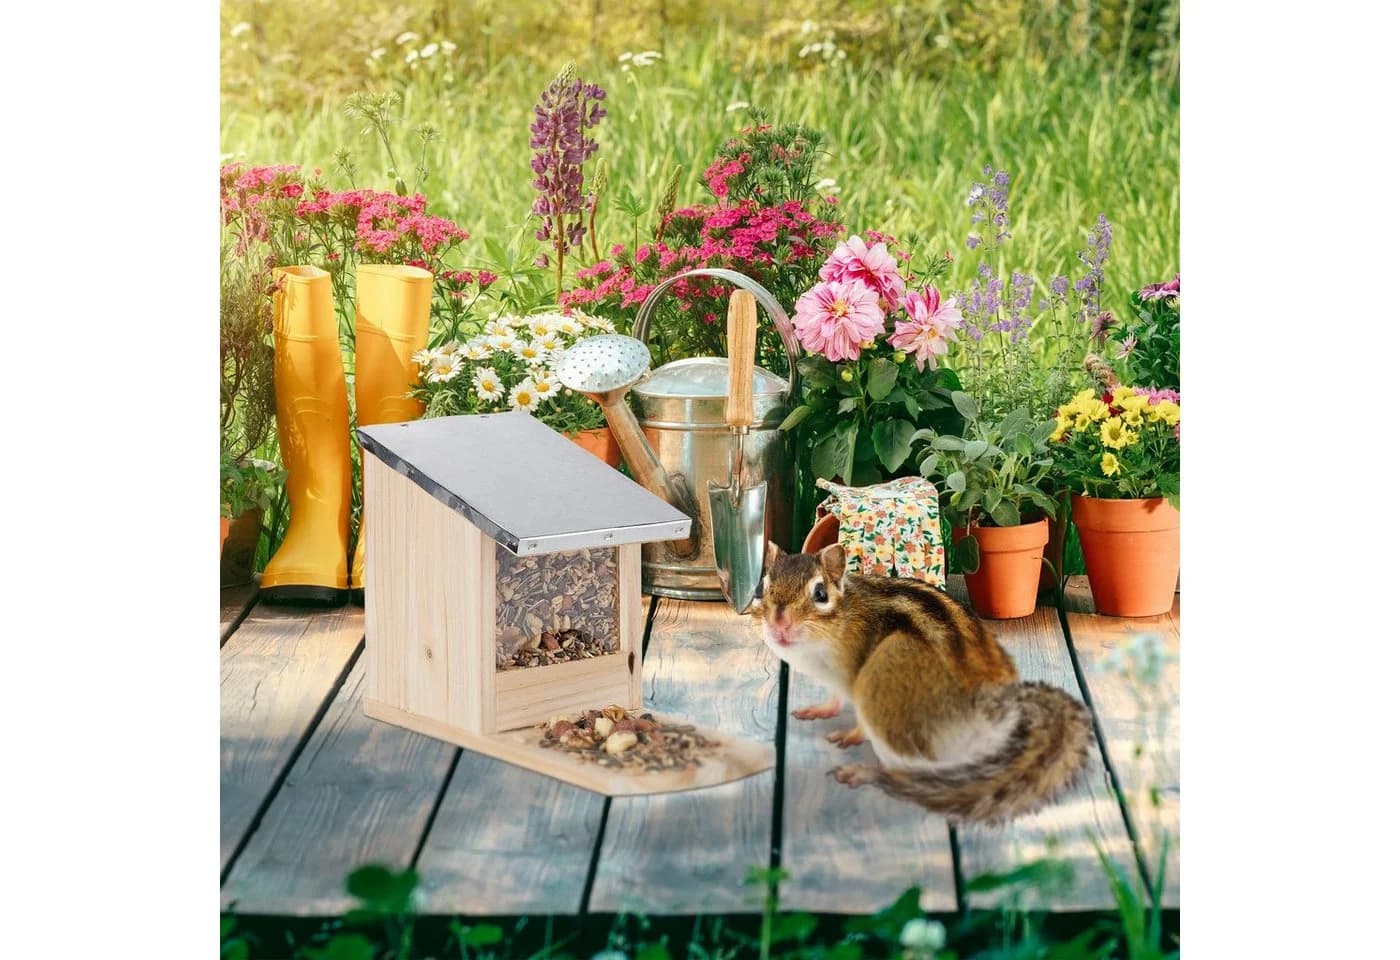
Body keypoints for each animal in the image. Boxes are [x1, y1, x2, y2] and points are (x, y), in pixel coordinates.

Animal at [751, 540, 1092, 824]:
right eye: (762, 587)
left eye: (820, 594)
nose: (779, 623)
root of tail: (998, 712)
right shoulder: (837, 683)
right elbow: (833, 700)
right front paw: (817, 711)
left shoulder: (855, 677)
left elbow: (857, 720)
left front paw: (850, 735)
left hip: (884, 684)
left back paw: (863, 772)